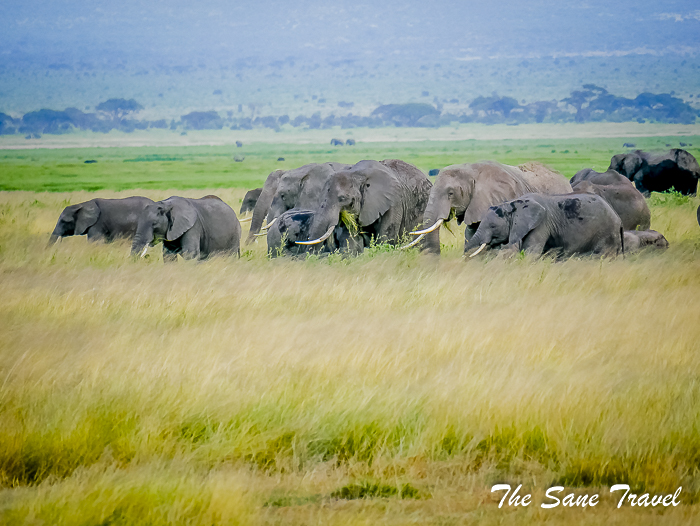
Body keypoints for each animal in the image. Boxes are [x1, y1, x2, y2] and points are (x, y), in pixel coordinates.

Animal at [464, 194, 624, 260]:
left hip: (607, 233)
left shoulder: (541, 224)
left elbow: (531, 253)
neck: (513, 203)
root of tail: (619, 219)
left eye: (492, 226)